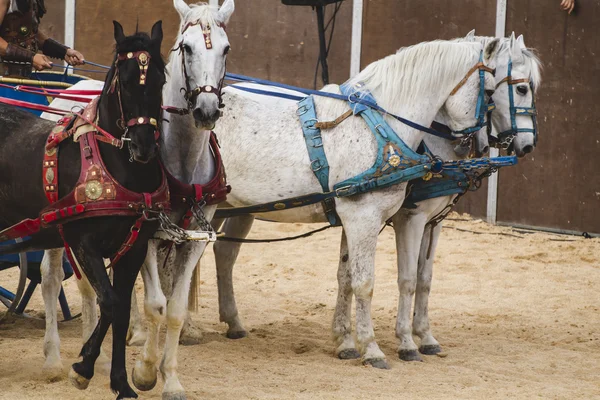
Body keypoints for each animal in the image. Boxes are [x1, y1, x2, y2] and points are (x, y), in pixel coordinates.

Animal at [0, 21, 165, 396]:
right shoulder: (83, 243)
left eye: (161, 79)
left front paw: (120, 382)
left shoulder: (133, 247)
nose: (144, 147)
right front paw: (84, 367)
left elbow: (120, 309)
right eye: (124, 79)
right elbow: (110, 302)